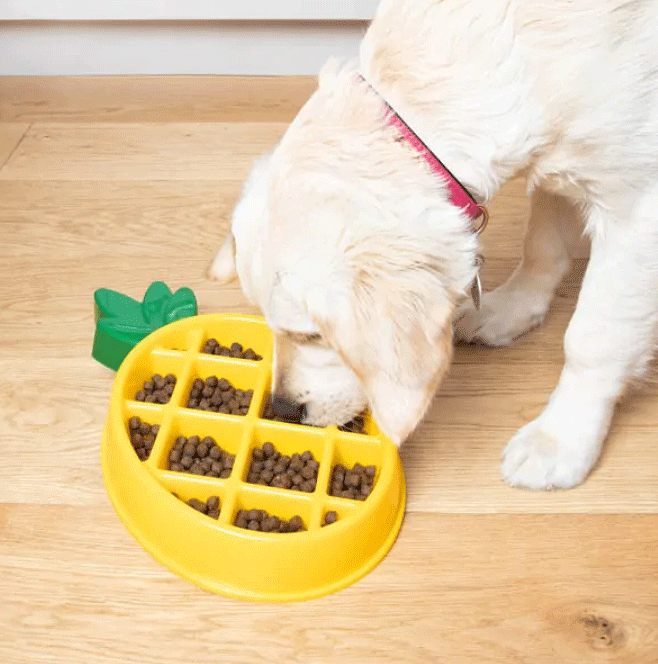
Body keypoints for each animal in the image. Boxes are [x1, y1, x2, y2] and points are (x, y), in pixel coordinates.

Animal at [209, 0, 656, 488]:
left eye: (313, 334)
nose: (284, 409)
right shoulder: (563, 165)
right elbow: (543, 247)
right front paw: (511, 309)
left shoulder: (636, 207)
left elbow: (593, 338)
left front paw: (562, 437)